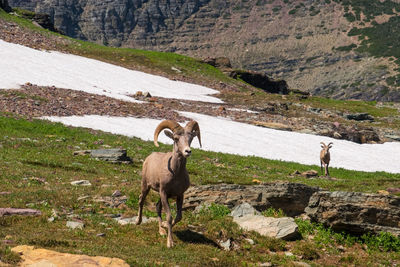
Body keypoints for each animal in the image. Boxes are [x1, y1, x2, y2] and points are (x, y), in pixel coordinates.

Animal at [136, 120, 202, 248]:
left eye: (191, 138)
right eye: (176, 138)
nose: (187, 151)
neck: (175, 174)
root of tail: (149, 157)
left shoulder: (180, 195)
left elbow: (178, 217)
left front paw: (166, 226)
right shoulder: (164, 193)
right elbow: (169, 216)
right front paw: (170, 243)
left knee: (157, 206)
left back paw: (161, 230)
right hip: (146, 186)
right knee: (141, 200)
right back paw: (138, 221)